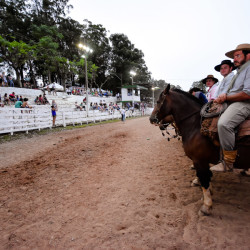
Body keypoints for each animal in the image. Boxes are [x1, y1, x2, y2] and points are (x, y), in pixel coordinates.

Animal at [149, 85, 249, 216]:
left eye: (158, 101)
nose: (151, 119)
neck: (196, 126)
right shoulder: (203, 161)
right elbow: (206, 177)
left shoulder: (199, 160)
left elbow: (204, 179)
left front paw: (206, 205)